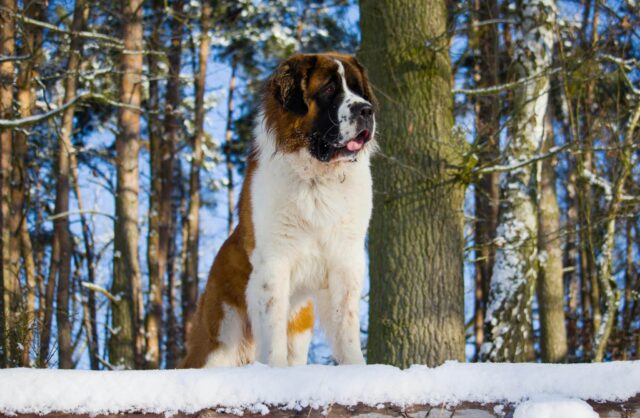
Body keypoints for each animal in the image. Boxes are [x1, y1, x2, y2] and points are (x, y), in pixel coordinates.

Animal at [181, 53, 376, 370]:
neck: (317, 178)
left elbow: (346, 324)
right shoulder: (274, 263)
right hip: (221, 336)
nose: (366, 110)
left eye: (359, 90)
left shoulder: (345, 261)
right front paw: (274, 371)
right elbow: (272, 332)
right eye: (329, 89)